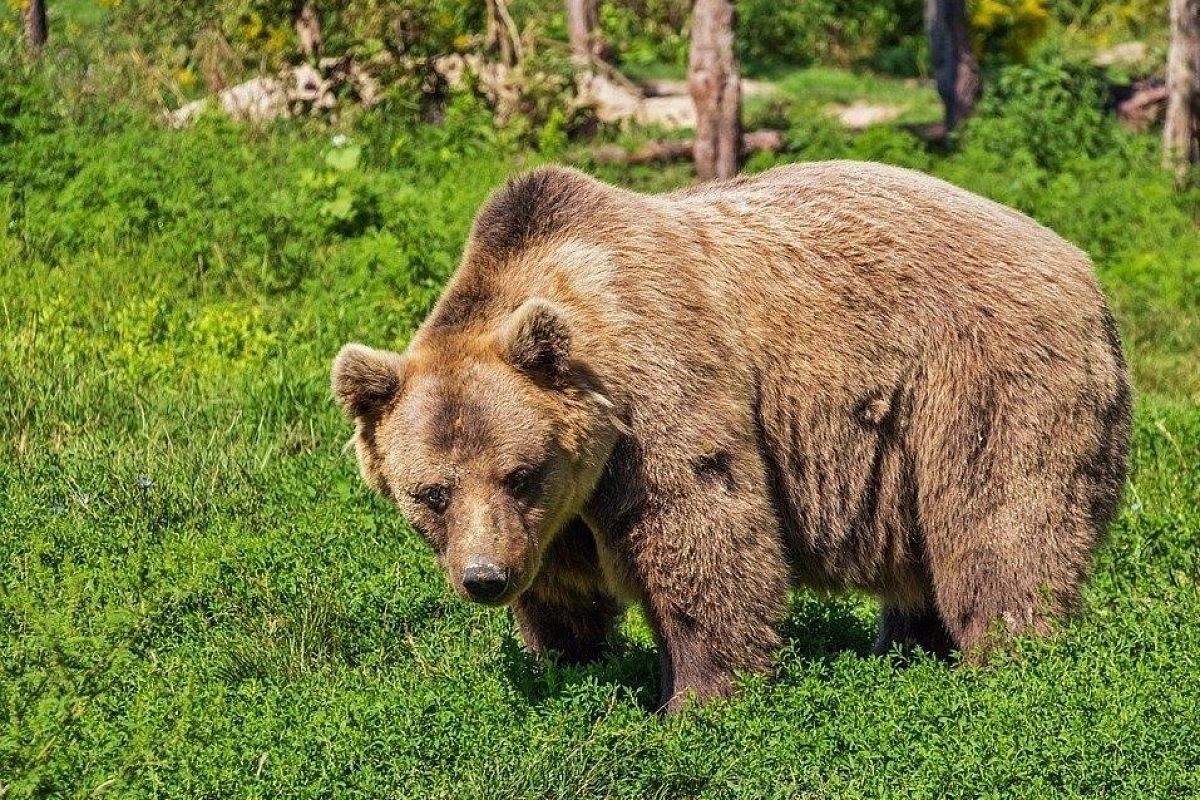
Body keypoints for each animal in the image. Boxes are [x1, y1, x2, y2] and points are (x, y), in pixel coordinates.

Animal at [331, 163, 1132, 714]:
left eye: (518, 473)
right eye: (431, 493)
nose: (484, 578)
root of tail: (1083, 266)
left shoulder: (659, 394)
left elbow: (703, 533)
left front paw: (696, 699)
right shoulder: (559, 510)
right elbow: (562, 588)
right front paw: (570, 662)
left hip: (983, 379)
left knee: (1001, 523)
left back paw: (1009, 661)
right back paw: (907, 648)